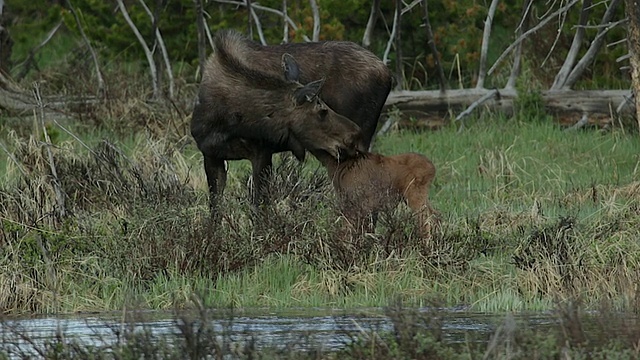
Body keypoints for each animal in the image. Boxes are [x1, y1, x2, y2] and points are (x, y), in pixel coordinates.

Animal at [190, 29, 392, 215]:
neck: (225, 121)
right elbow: (215, 211)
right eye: (322, 111)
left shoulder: (262, 152)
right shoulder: (211, 154)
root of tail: (387, 74)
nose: (354, 134)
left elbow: (259, 209)